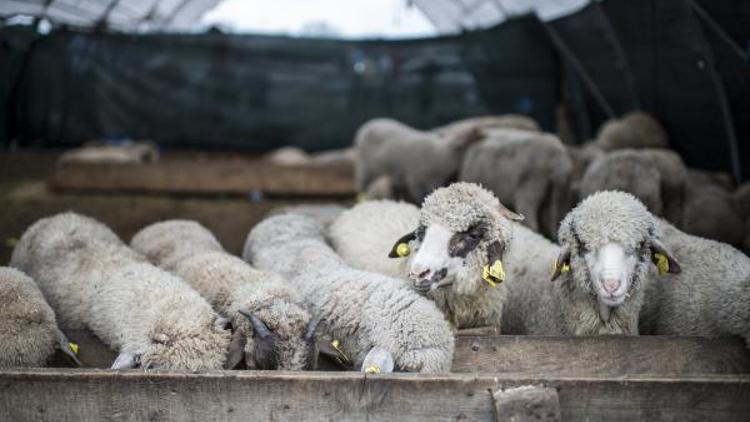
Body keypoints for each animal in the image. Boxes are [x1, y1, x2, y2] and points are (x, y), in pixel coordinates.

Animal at [354, 118, 482, 204]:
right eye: (467, 136)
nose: (477, 128)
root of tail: (367, 126)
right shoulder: (417, 183)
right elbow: (420, 200)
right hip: (366, 172)